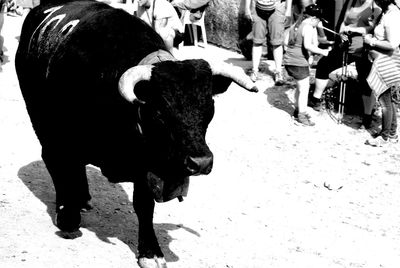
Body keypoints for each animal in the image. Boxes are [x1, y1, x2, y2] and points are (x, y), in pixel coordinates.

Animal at [14, 1, 256, 266]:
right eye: (160, 111)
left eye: (209, 108)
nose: (200, 162)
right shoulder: (66, 138)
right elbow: (64, 171)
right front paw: (67, 215)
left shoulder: (146, 163)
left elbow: (143, 206)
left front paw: (150, 251)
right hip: (39, 116)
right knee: (52, 161)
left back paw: (84, 198)